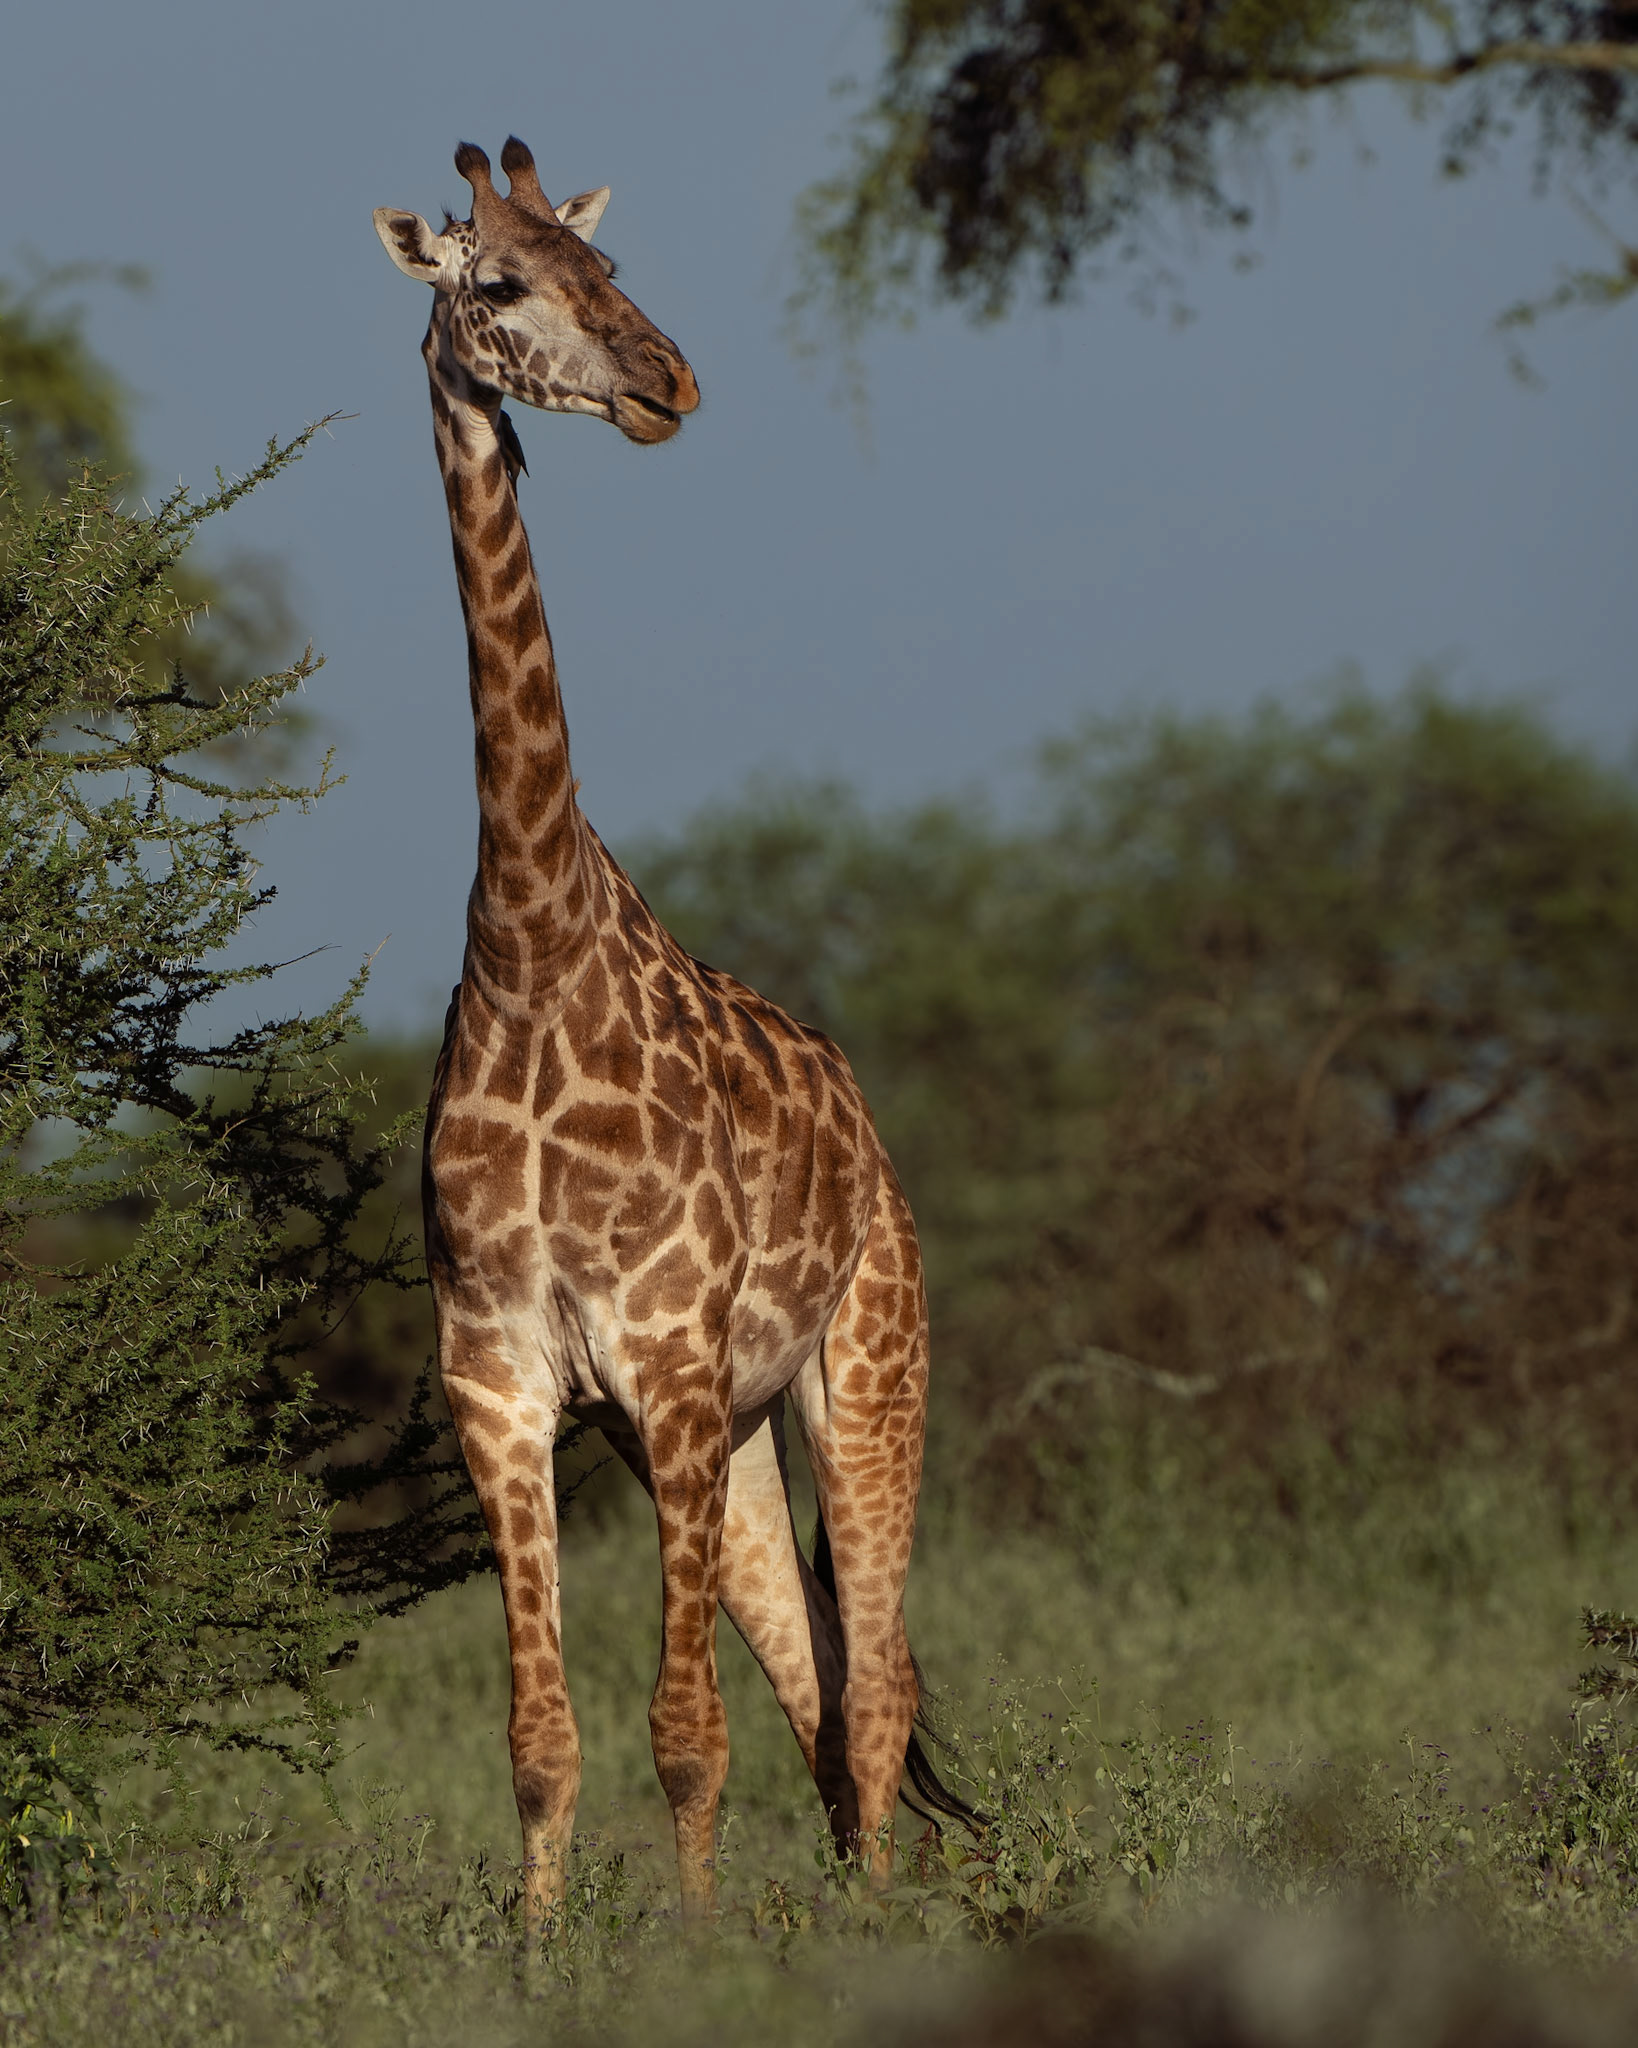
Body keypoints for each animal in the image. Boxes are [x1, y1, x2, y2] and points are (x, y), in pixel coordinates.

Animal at [373, 137, 964, 1926]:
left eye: (606, 267)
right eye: (500, 281)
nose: (669, 382)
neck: (527, 946)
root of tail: (872, 1141)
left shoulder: (669, 1362)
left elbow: (683, 1732)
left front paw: (694, 1954)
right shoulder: (504, 1383)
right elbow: (545, 1740)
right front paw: (539, 1947)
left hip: (862, 1371)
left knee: (876, 1688)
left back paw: (878, 1928)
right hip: (730, 1438)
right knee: (828, 1697)